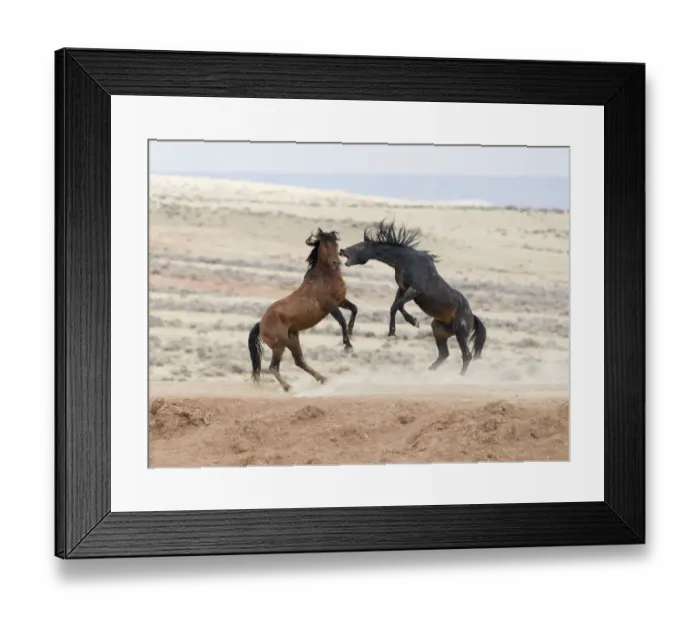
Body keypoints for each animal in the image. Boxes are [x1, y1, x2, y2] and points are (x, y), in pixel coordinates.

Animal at [247, 228, 358, 392]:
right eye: (325, 245)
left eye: (336, 244)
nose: (335, 263)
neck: (324, 279)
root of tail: (261, 324)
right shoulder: (330, 305)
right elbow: (342, 320)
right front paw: (348, 346)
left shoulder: (341, 301)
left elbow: (354, 309)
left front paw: (350, 332)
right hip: (280, 346)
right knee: (274, 367)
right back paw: (288, 387)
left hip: (293, 339)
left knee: (299, 361)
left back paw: (322, 378)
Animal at [339, 218, 486, 376]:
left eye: (360, 246)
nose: (342, 251)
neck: (406, 260)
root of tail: (472, 317)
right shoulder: (402, 288)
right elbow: (394, 307)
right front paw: (393, 333)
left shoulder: (415, 290)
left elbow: (398, 305)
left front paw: (412, 322)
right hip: (439, 330)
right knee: (444, 354)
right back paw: (429, 371)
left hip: (460, 332)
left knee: (466, 355)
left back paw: (460, 376)